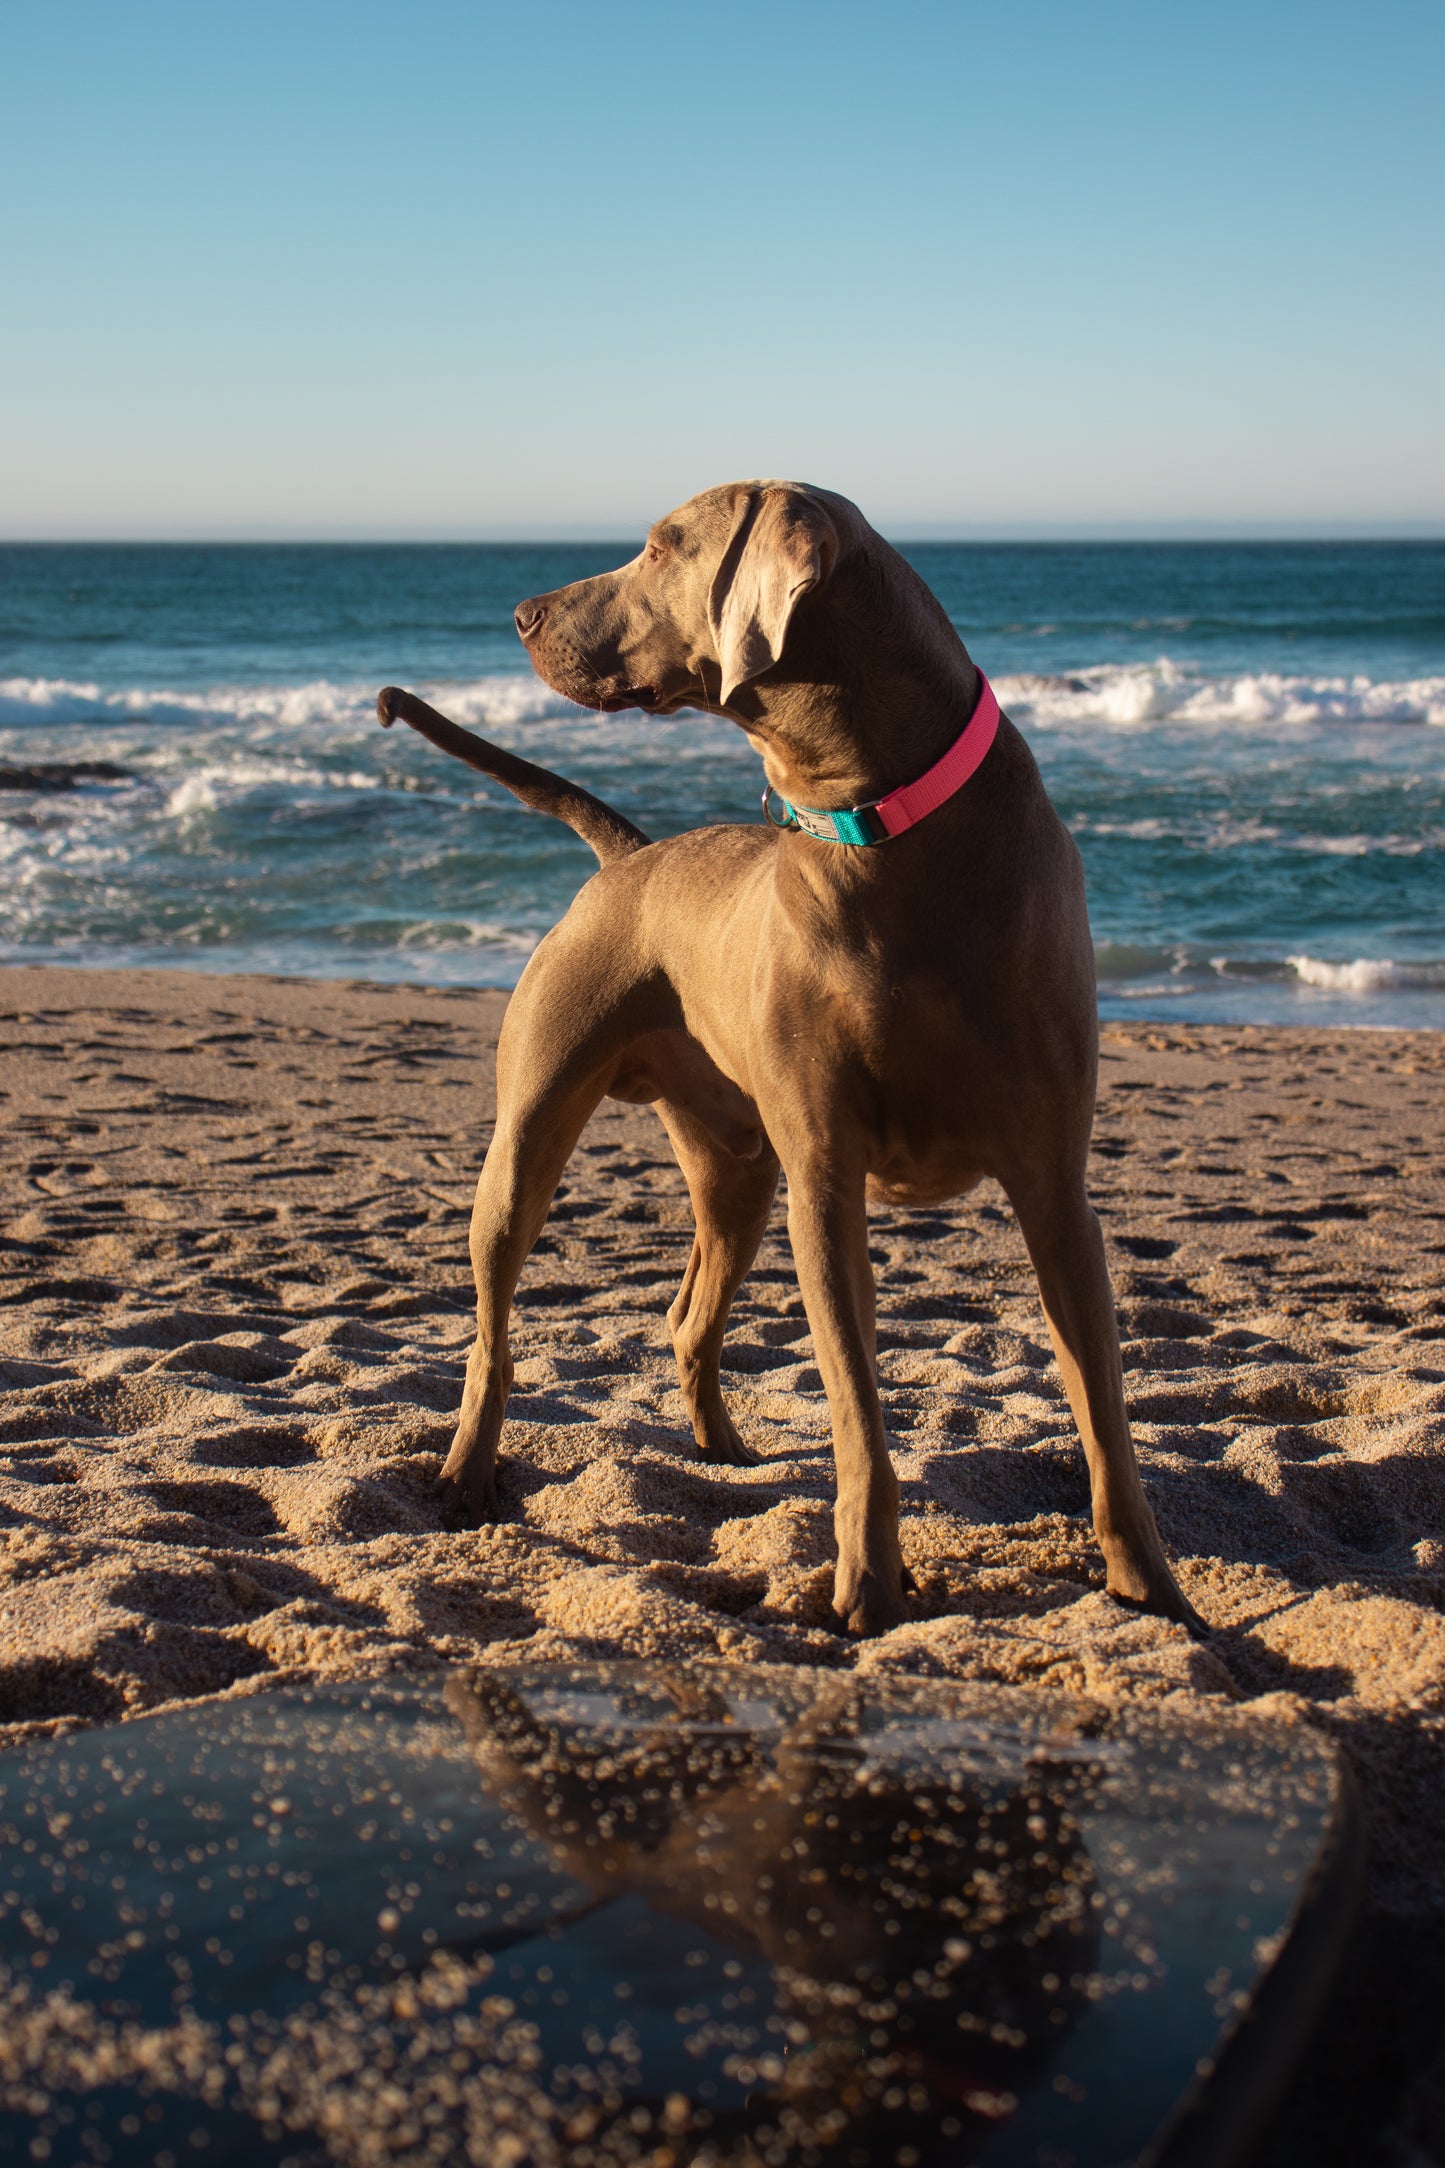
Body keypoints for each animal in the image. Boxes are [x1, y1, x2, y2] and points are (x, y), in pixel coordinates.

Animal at [379, 474, 1204, 1630]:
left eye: (661, 546)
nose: (523, 613)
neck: (885, 838)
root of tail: (632, 858)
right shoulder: (825, 1178)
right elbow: (857, 1408)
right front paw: (867, 1583)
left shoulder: (1051, 1189)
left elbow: (1103, 1412)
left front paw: (1149, 1585)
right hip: (534, 1128)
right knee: (493, 1331)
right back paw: (465, 1470)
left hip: (735, 1167)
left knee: (687, 1317)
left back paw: (721, 1448)